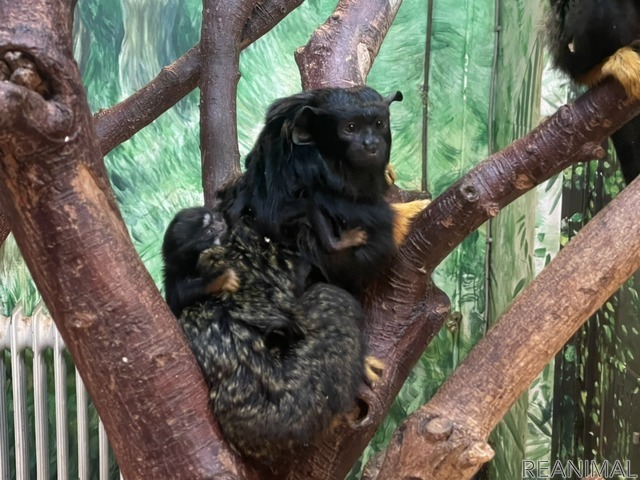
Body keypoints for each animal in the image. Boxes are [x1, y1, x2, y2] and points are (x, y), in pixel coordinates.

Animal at [218, 87, 428, 294]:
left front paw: (387, 173)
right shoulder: (308, 163)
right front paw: (409, 211)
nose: (371, 144)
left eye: (379, 123)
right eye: (351, 128)